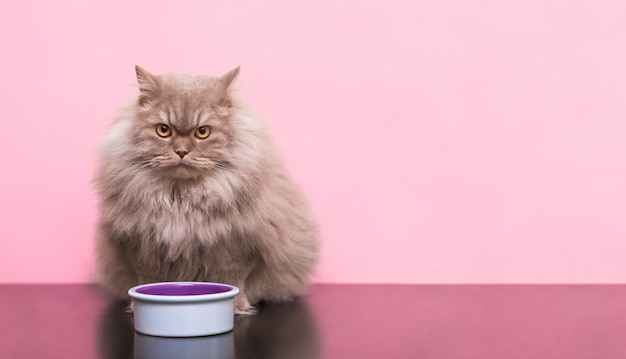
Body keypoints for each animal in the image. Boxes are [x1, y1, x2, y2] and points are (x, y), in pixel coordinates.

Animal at [94, 65, 316, 316]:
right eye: (163, 130)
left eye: (202, 132)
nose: (181, 151)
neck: (180, 196)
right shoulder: (140, 247)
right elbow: (149, 277)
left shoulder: (239, 247)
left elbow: (233, 278)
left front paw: (237, 307)